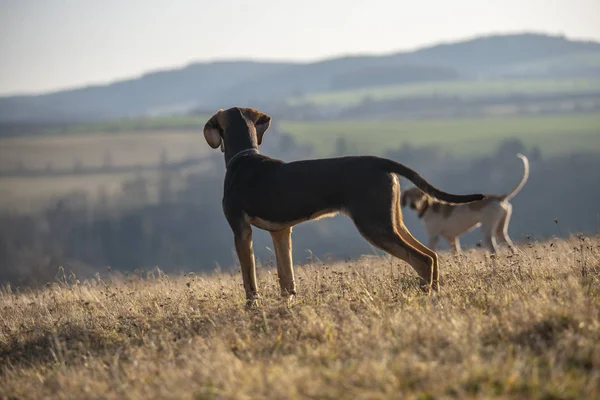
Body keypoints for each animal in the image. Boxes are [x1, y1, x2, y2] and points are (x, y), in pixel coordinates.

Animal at [204, 108, 486, 304]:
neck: (244, 160)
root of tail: (380, 162)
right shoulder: (281, 232)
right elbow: (286, 278)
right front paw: (287, 307)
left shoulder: (241, 231)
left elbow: (249, 280)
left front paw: (253, 309)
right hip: (390, 222)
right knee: (431, 256)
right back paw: (435, 294)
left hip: (374, 226)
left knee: (423, 259)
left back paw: (426, 297)